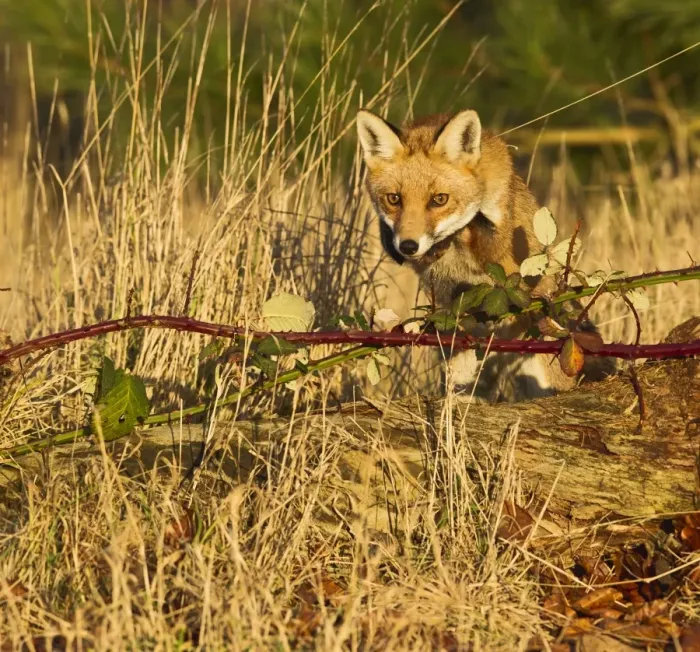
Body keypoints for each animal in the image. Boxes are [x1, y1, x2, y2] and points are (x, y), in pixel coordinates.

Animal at [356, 108, 612, 402]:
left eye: (439, 199)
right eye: (394, 199)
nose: (408, 246)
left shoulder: (504, 244)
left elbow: (478, 225)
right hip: (465, 353)